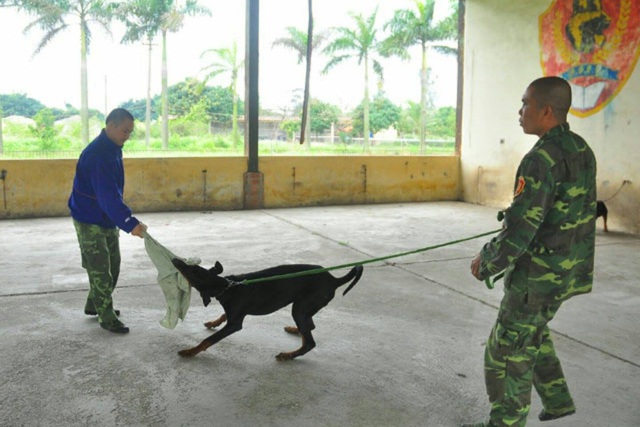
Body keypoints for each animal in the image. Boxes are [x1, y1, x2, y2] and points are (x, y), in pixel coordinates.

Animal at [172, 260, 362, 362]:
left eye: (192, 272)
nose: (175, 260)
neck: (227, 286)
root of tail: (334, 280)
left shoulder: (235, 324)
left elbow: (208, 340)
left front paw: (190, 351)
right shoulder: (235, 313)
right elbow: (223, 314)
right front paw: (213, 322)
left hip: (300, 307)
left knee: (309, 342)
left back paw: (288, 355)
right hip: (304, 307)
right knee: (309, 326)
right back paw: (295, 330)